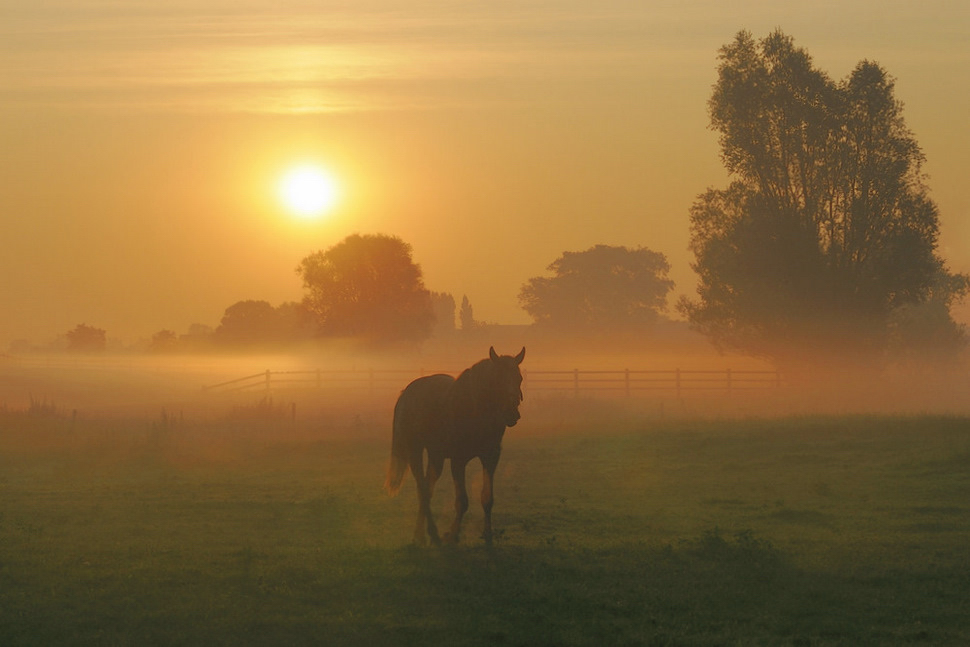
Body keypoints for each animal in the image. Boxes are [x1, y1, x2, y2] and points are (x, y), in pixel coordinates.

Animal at [385, 346, 526, 546]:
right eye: (497, 379)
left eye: (519, 378)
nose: (512, 413)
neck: (475, 411)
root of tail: (406, 393)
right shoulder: (458, 461)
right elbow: (462, 501)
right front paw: (452, 535)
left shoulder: (490, 458)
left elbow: (487, 499)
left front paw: (488, 534)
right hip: (415, 451)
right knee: (423, 490)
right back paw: (427, 534)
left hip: (436, 456)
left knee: (427, 489)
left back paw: (423, 533)